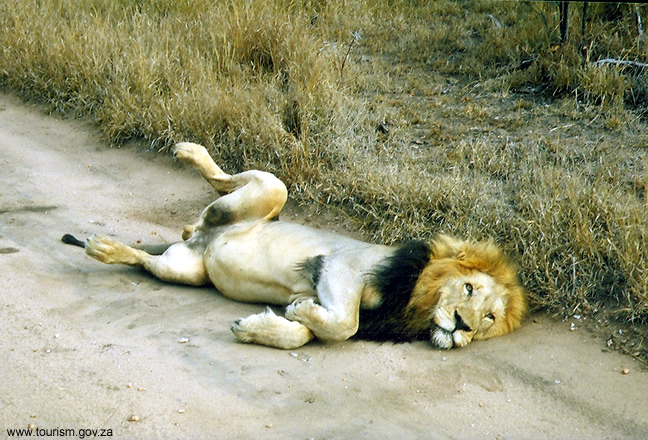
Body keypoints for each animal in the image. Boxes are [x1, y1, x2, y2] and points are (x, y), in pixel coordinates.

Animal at [62, 142, 527, 350]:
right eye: (468, 289)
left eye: (489, 318)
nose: (463, 325)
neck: (413, 304)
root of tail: (202, 238)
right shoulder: (343, 265)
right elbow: (345, 323)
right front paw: (299, 311)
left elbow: (305, 333)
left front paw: (262, 325)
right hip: (273, 190)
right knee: (226, 180)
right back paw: (186, 154)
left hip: (185, 270)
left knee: (146, 258)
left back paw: (106, 247)